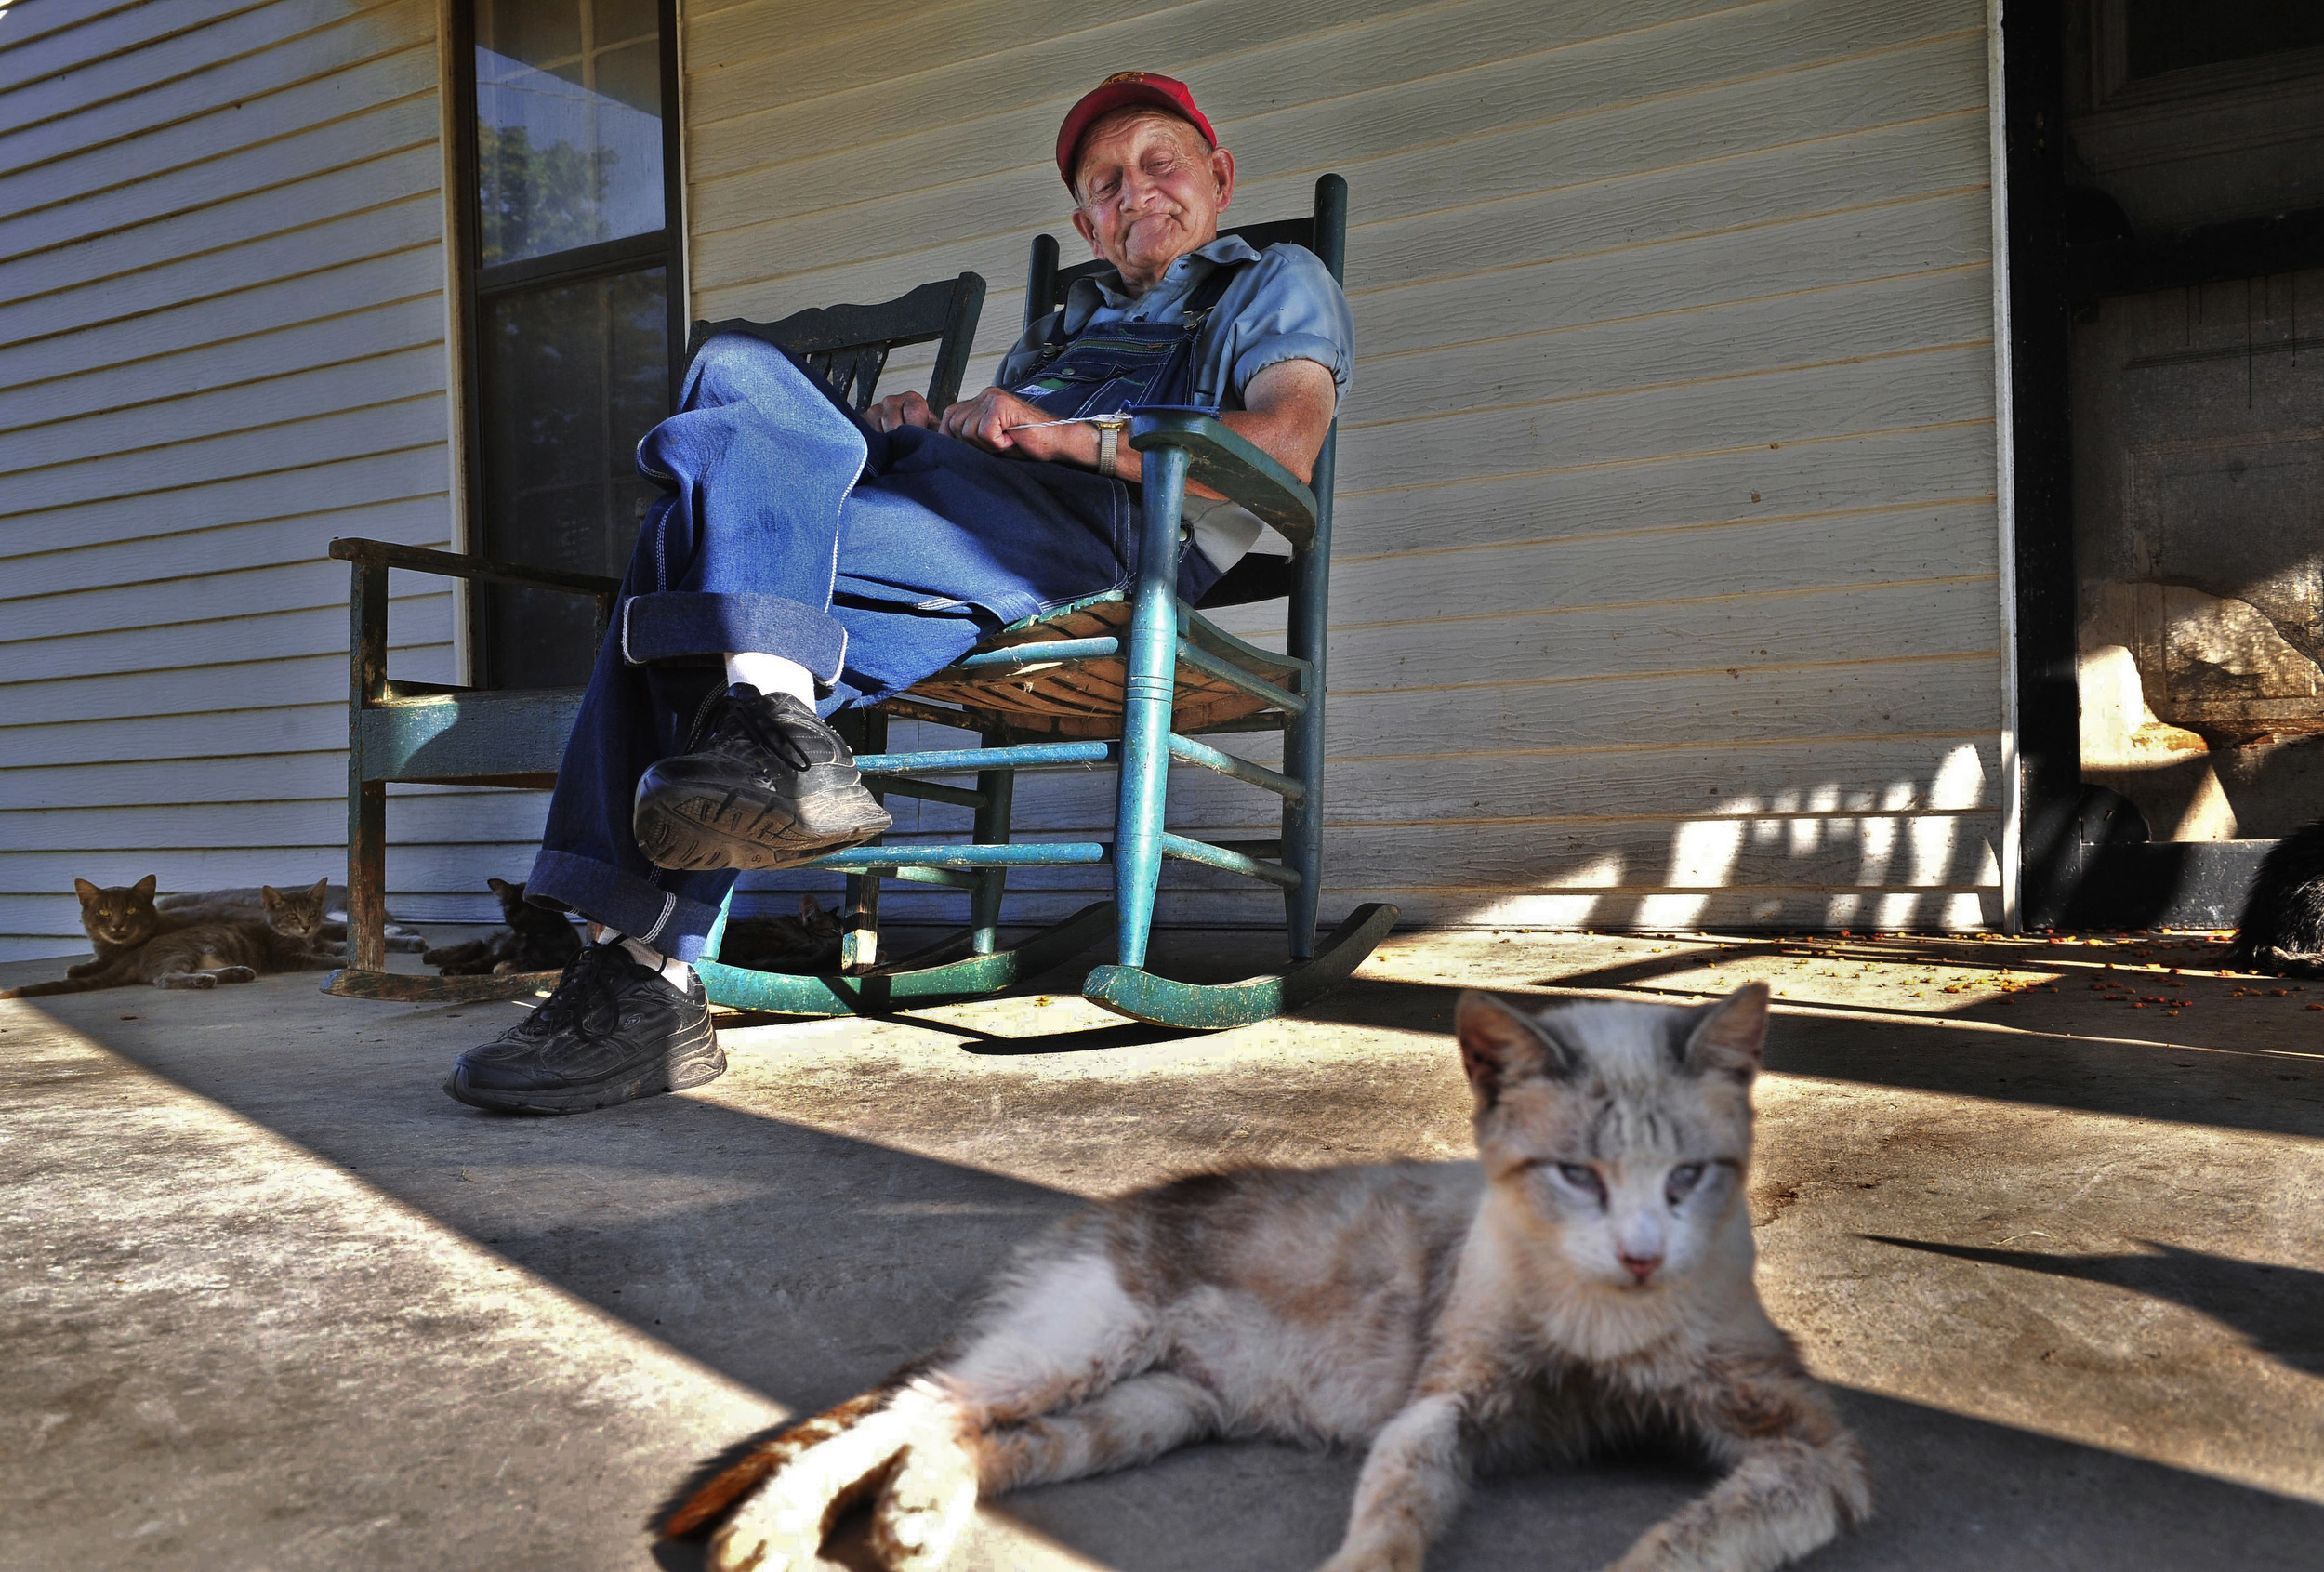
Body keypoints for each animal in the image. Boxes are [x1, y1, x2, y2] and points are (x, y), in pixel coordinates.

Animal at [0, 869, 341, 995]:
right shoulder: (288, 957)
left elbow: (329, 949)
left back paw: (235, 973)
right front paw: (338, 963)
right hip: (182, 952)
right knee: (165, 979)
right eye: (104, 913)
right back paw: (207, 980)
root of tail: (137, 955)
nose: (307, 925)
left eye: (311, 912)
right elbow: (321, 959)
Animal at [420, 878, 586, 976]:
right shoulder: (499, 953)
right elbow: (480, 963)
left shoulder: (557, 959)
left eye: (527, 915)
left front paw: (503, 967)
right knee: (468, 949)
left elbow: (528, 962)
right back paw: (431, 956)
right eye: (509, 915)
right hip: (487, 947)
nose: (517, 934)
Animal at [669, 981, 1868, 1572]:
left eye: (1687, 1178)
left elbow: (1708, 1533)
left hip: (1150, 1408)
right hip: (1079, 1346)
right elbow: (1393, 1510)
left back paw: (915, 1515)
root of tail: (1098, 1212)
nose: (1641, 1252)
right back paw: (775, 1531)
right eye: (1576, 1173)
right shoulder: (1444, 1402)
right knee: (904, 1410)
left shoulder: (1809, 1444)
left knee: (962, 1435)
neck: (1598, 1322)